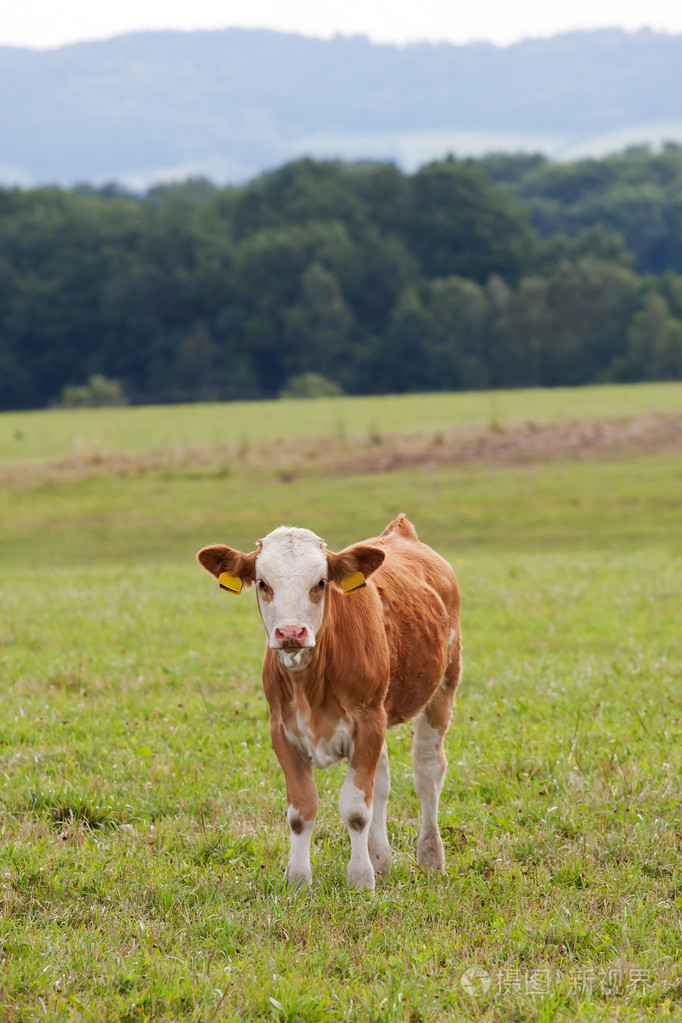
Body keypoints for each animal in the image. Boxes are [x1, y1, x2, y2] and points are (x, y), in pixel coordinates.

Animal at [198, 515, 464, 892]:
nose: (291, 633)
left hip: (442, 687)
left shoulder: (367, 723)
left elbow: (356, 809)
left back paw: (430, 857)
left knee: (428, 770)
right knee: (382, 781)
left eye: (320, 583)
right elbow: (302, 810)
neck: (309, 684)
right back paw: (381, 858)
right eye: (263, 584)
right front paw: (298, 879)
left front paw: (361, 879)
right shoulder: (282, 730)